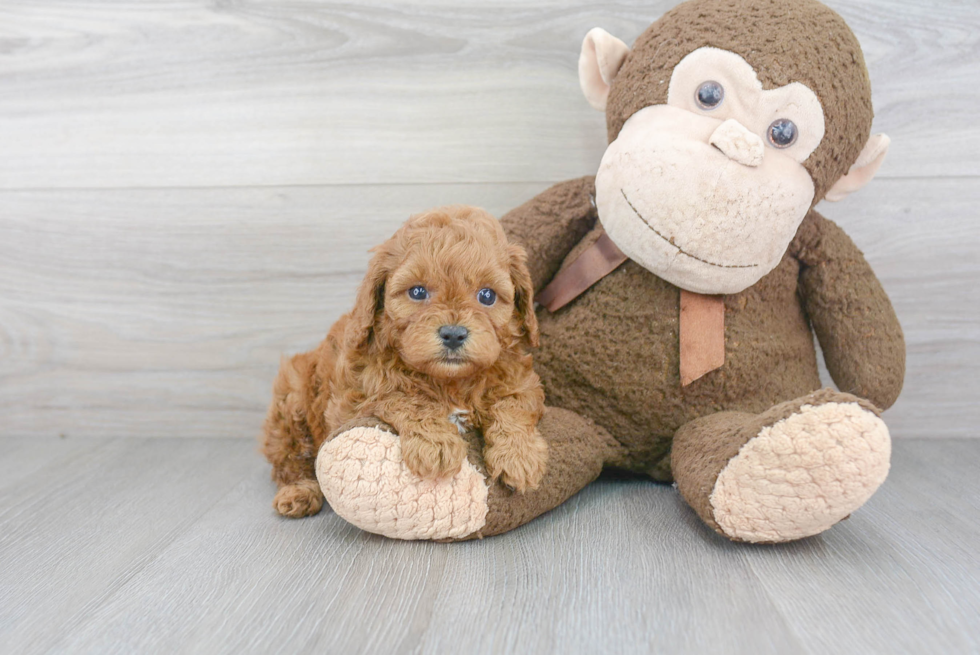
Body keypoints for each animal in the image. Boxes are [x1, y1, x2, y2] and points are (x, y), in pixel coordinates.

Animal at [260, 205, 548, 516]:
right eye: (418, 292)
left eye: (487, 295)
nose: (454, 334)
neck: (449, 380)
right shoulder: (355, 398)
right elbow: (403, 397)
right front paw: (436, 443)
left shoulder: (520, 379)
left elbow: (514, 404)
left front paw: (519, 456)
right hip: (291, 403)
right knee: (290, 460)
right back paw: (297, 492)